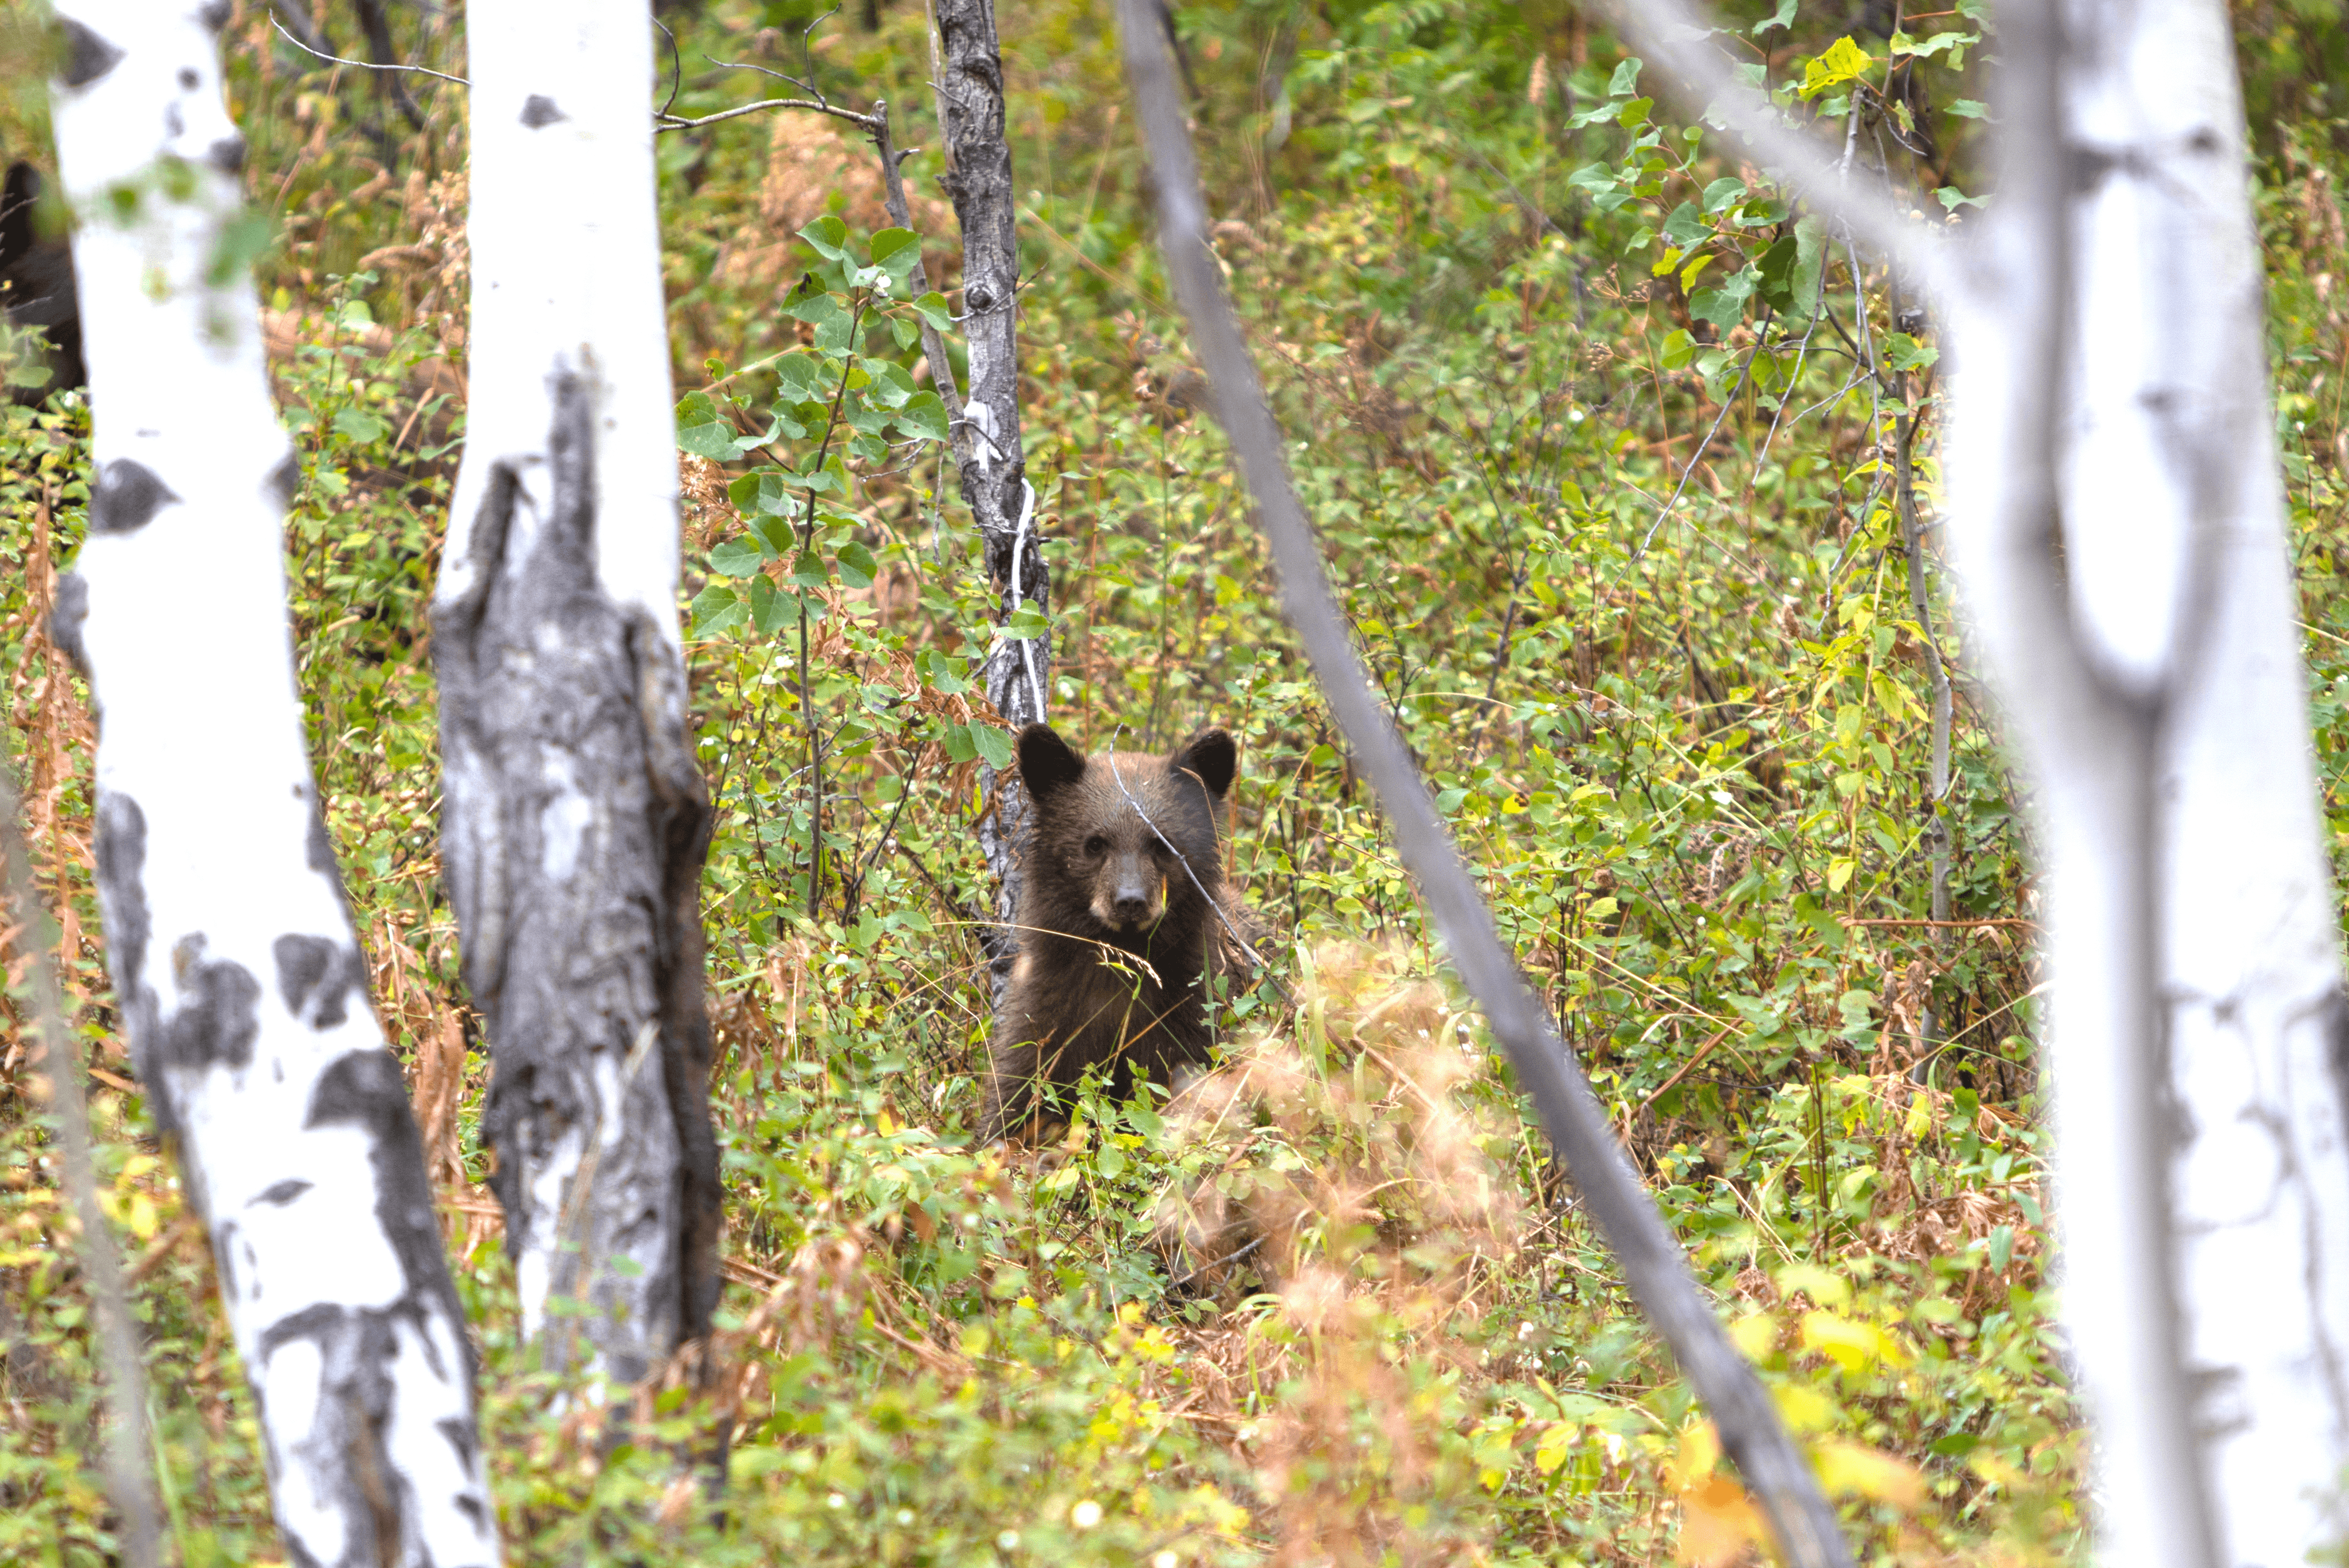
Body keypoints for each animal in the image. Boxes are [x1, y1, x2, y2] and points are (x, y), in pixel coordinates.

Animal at [979, 723, 1256, 1143]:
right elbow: (1013, 1105)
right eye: (1095, 843)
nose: (1130, 901)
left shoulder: (1194, 1016)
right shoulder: (1048, 1019)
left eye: (1161, 844)